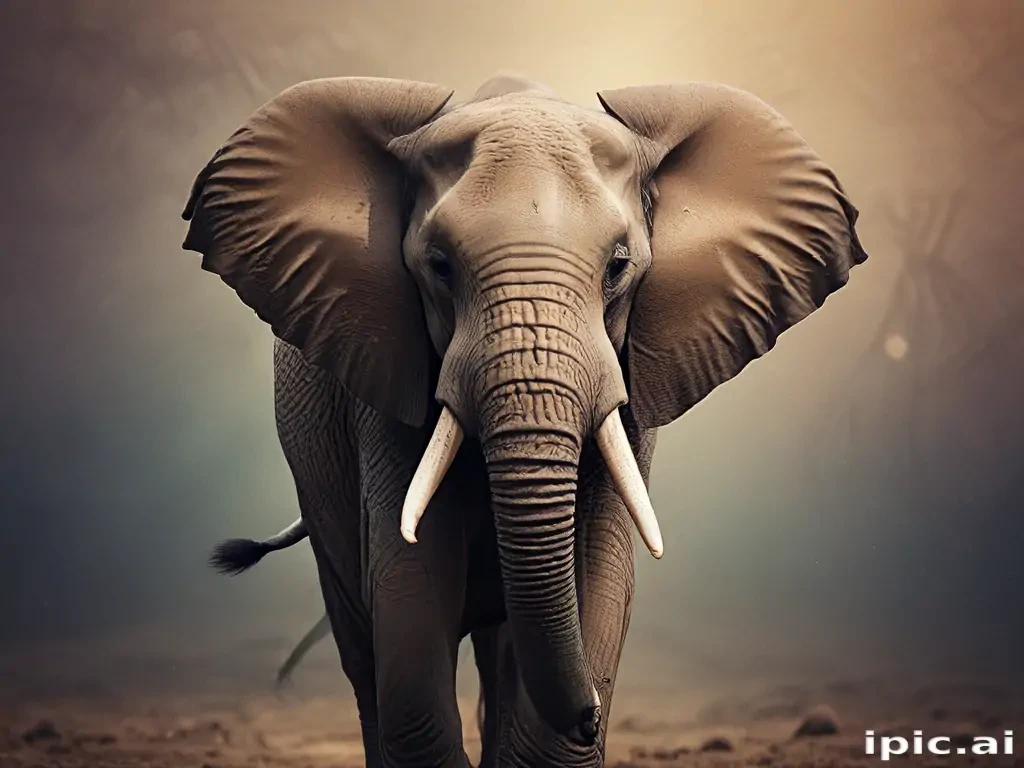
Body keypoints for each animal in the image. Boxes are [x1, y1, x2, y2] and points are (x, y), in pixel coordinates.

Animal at [181, 73, 867, 767]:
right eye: (439, 265)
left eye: (619, 266)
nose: (592, 714)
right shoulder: (383, 376)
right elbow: (410, 588)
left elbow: (599, 566)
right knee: (362, 645)